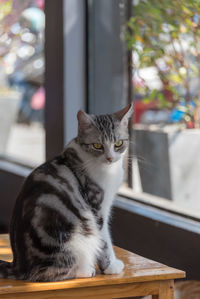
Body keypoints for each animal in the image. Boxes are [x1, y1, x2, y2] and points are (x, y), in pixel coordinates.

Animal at [0, 104, 133, 282]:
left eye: (118, 143)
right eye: (97, 145)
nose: (110, 158)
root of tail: (19, 266)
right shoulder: (96, 207)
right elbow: (104, 240)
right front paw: (111, 266)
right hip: (73, 238)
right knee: (50, 272)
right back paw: (85, 270)